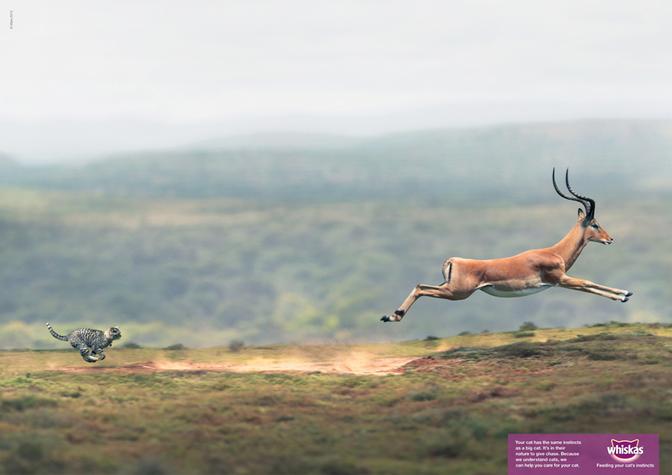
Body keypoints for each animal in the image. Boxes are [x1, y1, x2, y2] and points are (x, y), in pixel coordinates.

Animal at [381, 169, 632, 323]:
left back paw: (391, 315)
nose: (610, 239)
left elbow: (587, 286)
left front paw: (625, 294)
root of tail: (453, 260)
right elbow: (589, 283)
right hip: (457, 293)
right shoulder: (560, 279)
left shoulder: (560, 283)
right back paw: (393, 316)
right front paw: (624, 294)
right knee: (421, 288)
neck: (555, 252)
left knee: (420, 285)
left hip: (449, 288)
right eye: (596, 224)